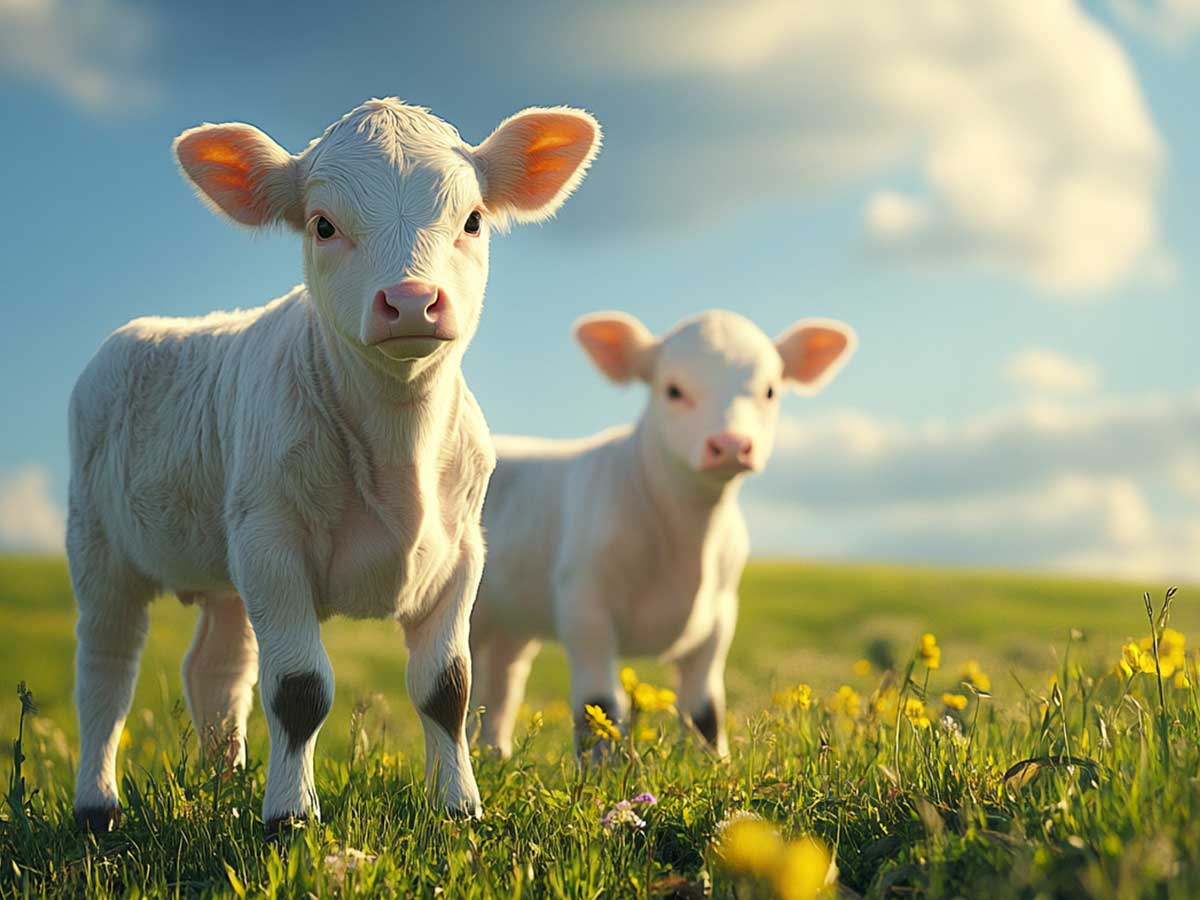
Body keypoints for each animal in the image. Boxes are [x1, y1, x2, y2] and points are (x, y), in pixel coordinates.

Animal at [67, 98, 600, 834]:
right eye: (324, 225)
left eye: (472, 220)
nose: (412, 300)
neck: (399, 449)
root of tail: (141, 331)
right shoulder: (273, 546)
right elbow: (299, 689)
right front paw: (289, 817)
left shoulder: (463, 552)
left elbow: (447, 688)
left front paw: (458, 807)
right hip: (99, 545)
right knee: (107, 670)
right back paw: (97, 805)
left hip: (226, 556)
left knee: (217, 667)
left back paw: (225, 779)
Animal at [469, 309, 855, 757]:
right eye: (673, 390)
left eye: (771, 391)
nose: (730, 445)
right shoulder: (584, 603)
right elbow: (599, 703)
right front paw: (602, 766)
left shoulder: (722, 613)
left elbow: (705, 708)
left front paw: (714, 763)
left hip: (512, 617)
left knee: (502, 679)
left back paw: (493, 754)